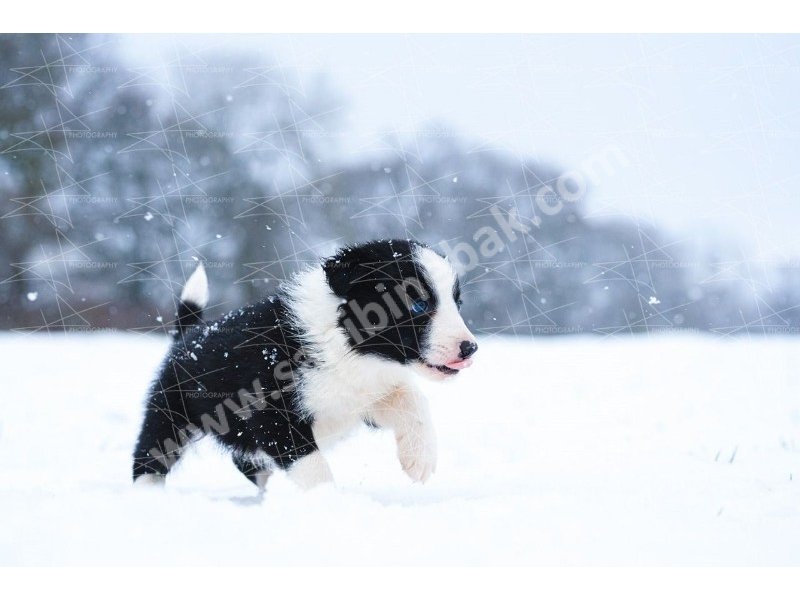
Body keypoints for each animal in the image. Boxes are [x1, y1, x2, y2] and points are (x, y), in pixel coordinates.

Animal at [134, 237, 478, 490]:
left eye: (457, 303)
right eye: (418, 303)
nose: (470, 348)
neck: (348, 348)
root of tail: (188, 335)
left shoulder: (362, 396)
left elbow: (412, 397)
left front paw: (420, 458)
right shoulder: (273, 414)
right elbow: (312, 467)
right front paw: (327, 505)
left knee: (246, 461)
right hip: (169, 411)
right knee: (150, 455)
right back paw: (148, 496)